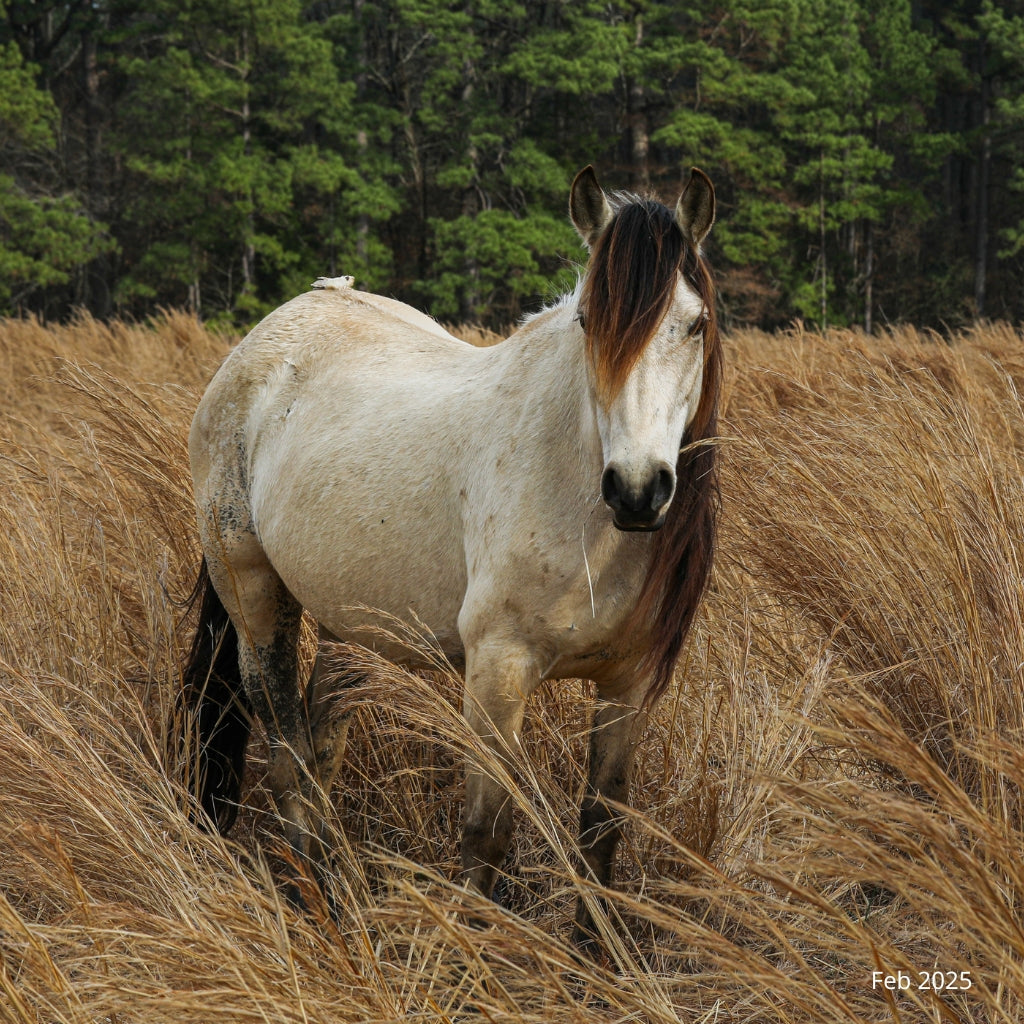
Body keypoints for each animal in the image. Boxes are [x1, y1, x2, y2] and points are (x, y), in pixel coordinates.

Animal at [178, 163, 720, 946]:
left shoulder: (631, 684)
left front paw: (595, 961)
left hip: (351, 626)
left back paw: (344, 895)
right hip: (256, 606)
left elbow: (600, 834)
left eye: (696, 323)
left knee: (319, 757)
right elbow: (485, 838)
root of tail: (262, 344)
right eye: (590, 321)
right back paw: (323, 910)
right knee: (286, 761)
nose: (639, 489)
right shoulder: (498, 671)